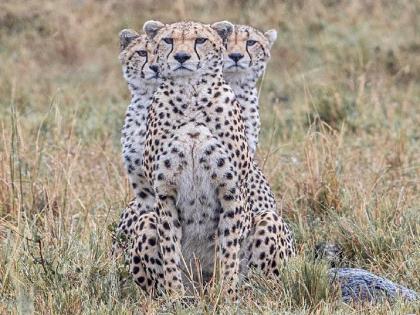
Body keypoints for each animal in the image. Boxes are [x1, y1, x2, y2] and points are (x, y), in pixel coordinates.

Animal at [127, 20, 296, 298]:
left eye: (200, 40)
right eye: (168, 40)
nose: (181, 57)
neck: (189, 94)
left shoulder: (230, 190)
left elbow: (228, 250)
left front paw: (226, 296)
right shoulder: (164, 194)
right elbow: (170, 251)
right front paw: (175, 297)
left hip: (268, 220)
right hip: (146, 220)